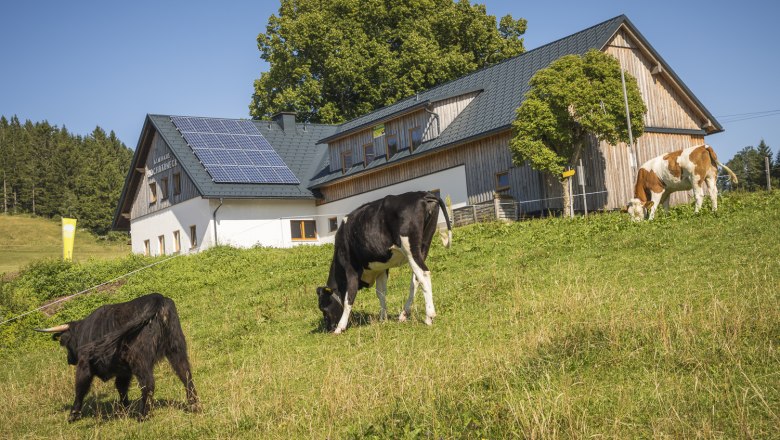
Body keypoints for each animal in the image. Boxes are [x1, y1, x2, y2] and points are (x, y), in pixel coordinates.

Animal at [37, 294, 201, 422]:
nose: (69, 360)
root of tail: (158, 299)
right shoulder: (123, 371)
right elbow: (121, 387)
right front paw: (124, 408)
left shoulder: (85, 365)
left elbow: (80, 388)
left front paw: (73, 414)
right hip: (176, 348)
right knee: (186, 375)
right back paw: (194, 406)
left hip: (139, 359)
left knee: (148, 384)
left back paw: (143, 415)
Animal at [316, 192, 450, 334]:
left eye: (323, 308)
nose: (329, 328)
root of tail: (423, 194)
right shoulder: (381, 269)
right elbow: (381, 294)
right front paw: (383, 318)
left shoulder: (351, 268)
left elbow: (349, 298)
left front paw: (340, 327)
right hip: (424, 245)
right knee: (415, 280)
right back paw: (404, 314)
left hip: (410, 248)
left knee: (423, 274)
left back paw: (429, 316)